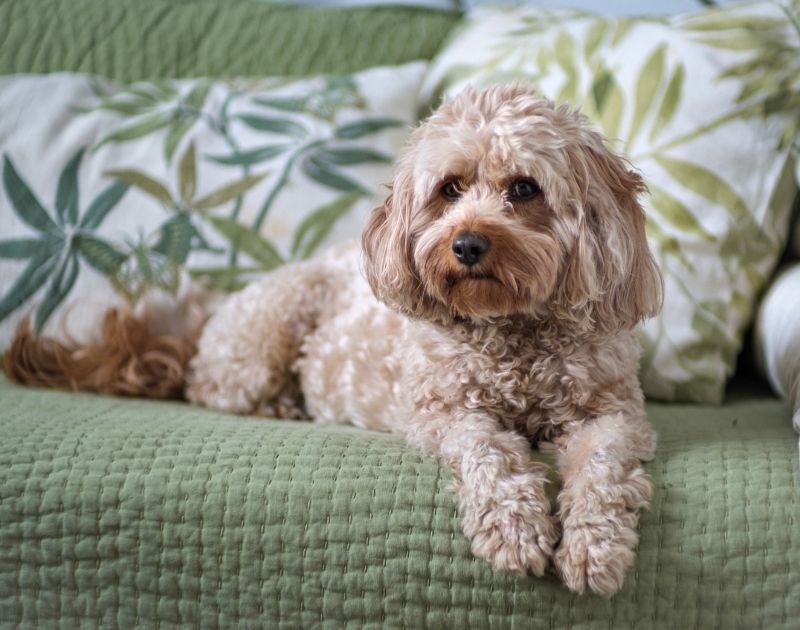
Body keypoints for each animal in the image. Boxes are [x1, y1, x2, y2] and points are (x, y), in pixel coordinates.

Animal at [188, 84, 664, 596]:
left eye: (524, 188)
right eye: (450, 188)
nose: (467, 245)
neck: (512, 329)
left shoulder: (614, 415)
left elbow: (601, 467)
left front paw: (594, 547)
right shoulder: (443, 412)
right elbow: (489, 452)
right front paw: (516, 530)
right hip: (265, 336)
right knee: (210, 388)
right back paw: (282, 404)